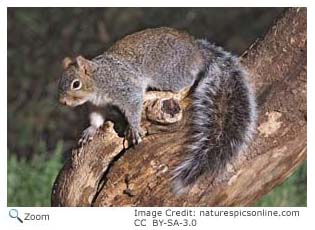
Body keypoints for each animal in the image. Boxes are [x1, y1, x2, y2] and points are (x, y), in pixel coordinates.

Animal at [58, 27, 256, 195]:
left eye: (76, 84)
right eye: (59, 82)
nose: (62, 102)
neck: (98, 80)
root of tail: (197, 50)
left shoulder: (126, 89)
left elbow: (133, 105)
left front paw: (134, 129)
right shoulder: (97, 105)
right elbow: (97, 118)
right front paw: (90, 131)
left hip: (168, 74)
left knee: (189, 80)